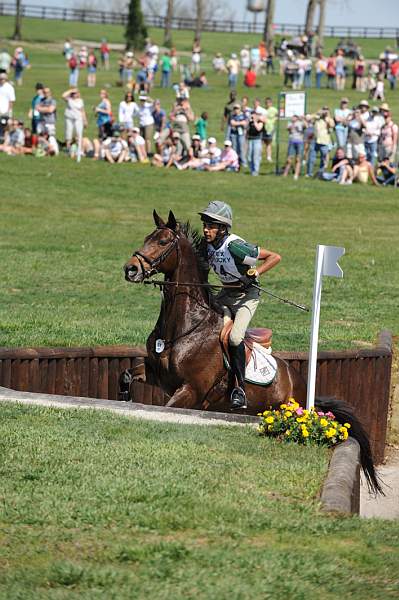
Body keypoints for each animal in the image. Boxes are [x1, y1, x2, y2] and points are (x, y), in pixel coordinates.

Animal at [124, 209, 384, 494]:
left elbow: (167, 406)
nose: (130, 269)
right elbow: (128, 373)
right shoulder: (157, 374)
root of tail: (301, 385)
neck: (185, 325)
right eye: (147, 238)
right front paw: (125, 396)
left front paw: (248, 277)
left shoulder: (190, 390)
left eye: (162, 242)